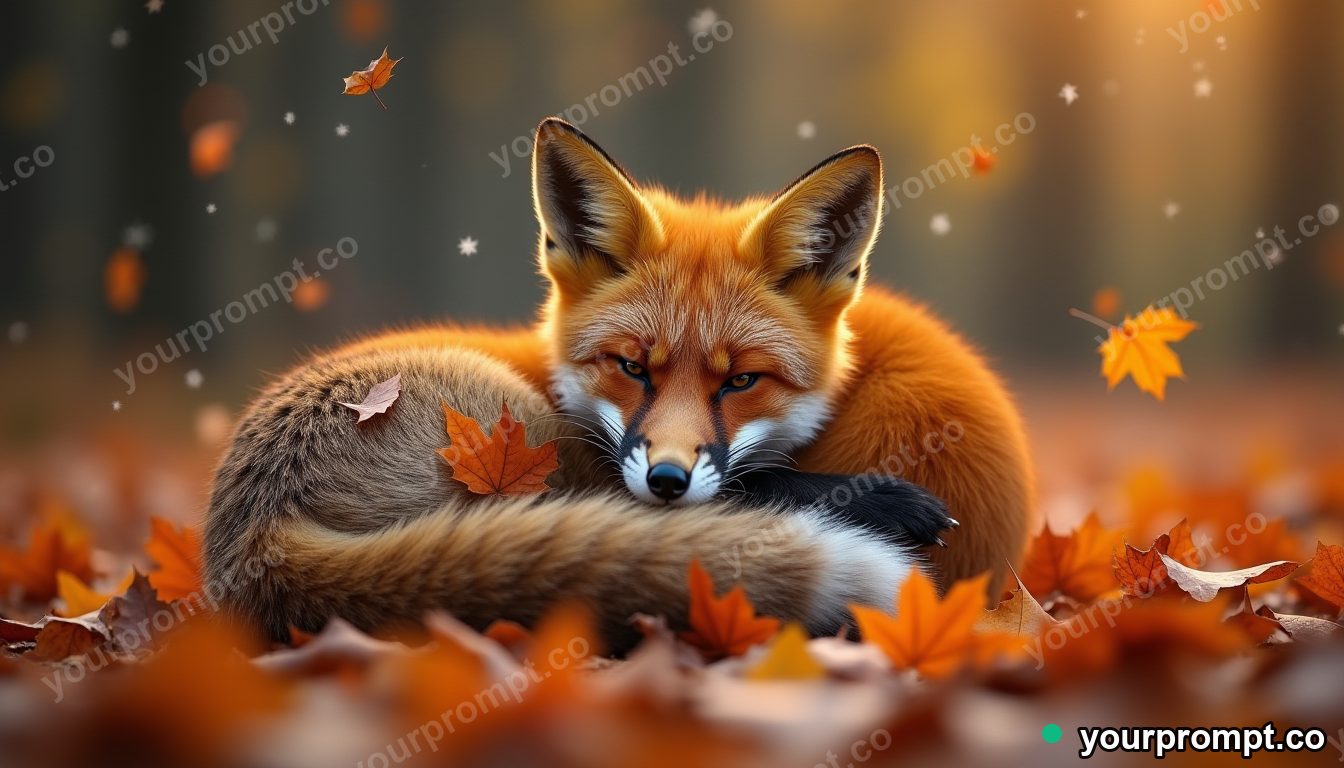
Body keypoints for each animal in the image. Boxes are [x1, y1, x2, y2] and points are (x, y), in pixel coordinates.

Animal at [203, 118, 1034, 648]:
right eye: (633, 367)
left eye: (742, 381)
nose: (667, 480)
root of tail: (253, 538)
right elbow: (754, 487)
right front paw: (881, 502)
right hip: (532, 448)